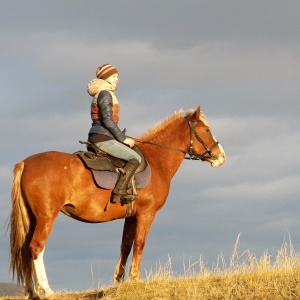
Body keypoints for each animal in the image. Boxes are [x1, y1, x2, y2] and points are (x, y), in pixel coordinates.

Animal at [9, 106, 225, 298]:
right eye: (206, 130)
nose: (221, 157)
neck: (156, 161)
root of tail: (25, 163)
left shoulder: (131, 216)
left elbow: (126, 245)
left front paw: (120, 280)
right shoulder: (147, 213)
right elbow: (140, 243)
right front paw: (136, 279)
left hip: (32, 218)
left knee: (24, 250)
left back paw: (31, 292)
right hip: (46, 216)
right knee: (36, 246)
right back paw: (46, 290)